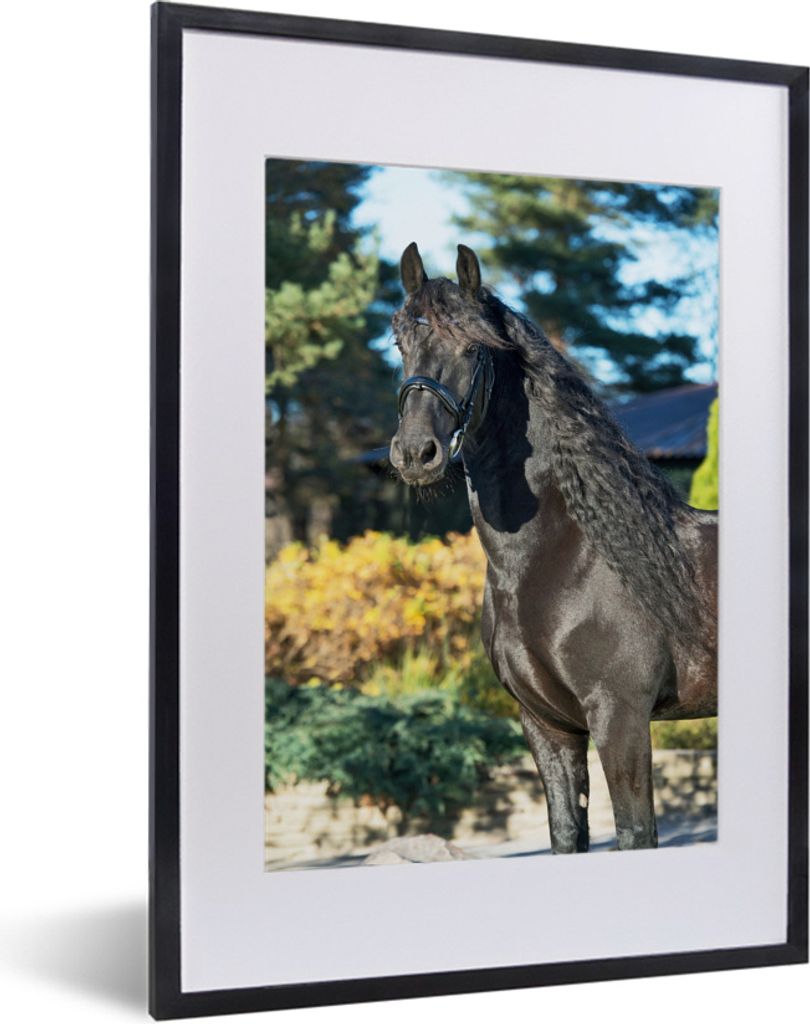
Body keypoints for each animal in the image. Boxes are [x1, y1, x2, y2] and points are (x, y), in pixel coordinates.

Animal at [389, 242, 718, 853]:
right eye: (401, 343)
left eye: (474, 347)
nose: (416, 453)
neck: (561, 562)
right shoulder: (547, 725)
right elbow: (566, 833)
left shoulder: (619, 717)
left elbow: (636, 832)